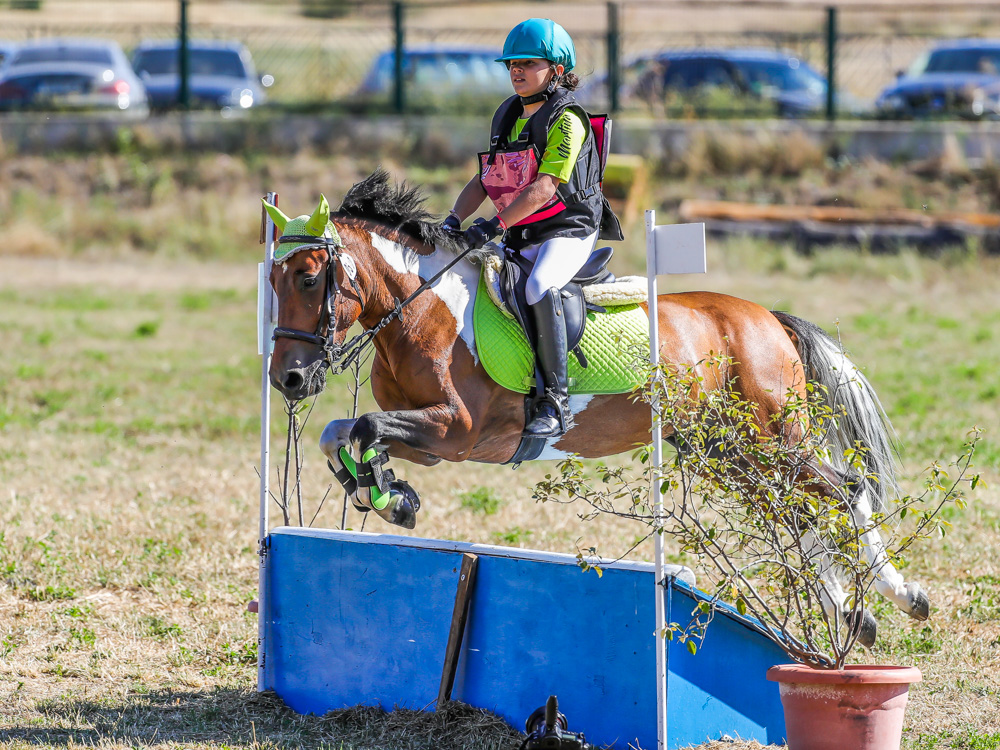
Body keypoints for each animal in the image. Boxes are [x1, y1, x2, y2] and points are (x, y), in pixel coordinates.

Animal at [264, 169, 928, 648]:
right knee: (795, 507)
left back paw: (900, 597)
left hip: (769, 438)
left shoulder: (457, 432)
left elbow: (365, 426)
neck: (425, 309)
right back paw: (849, 614)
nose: (288, 378)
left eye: (308, 277)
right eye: (272, 280)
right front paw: (389, 494)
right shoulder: (429, 443)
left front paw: (386, 495)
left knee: (843, 491)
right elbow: (340, 433)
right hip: (727, 450)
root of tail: (767, 317)